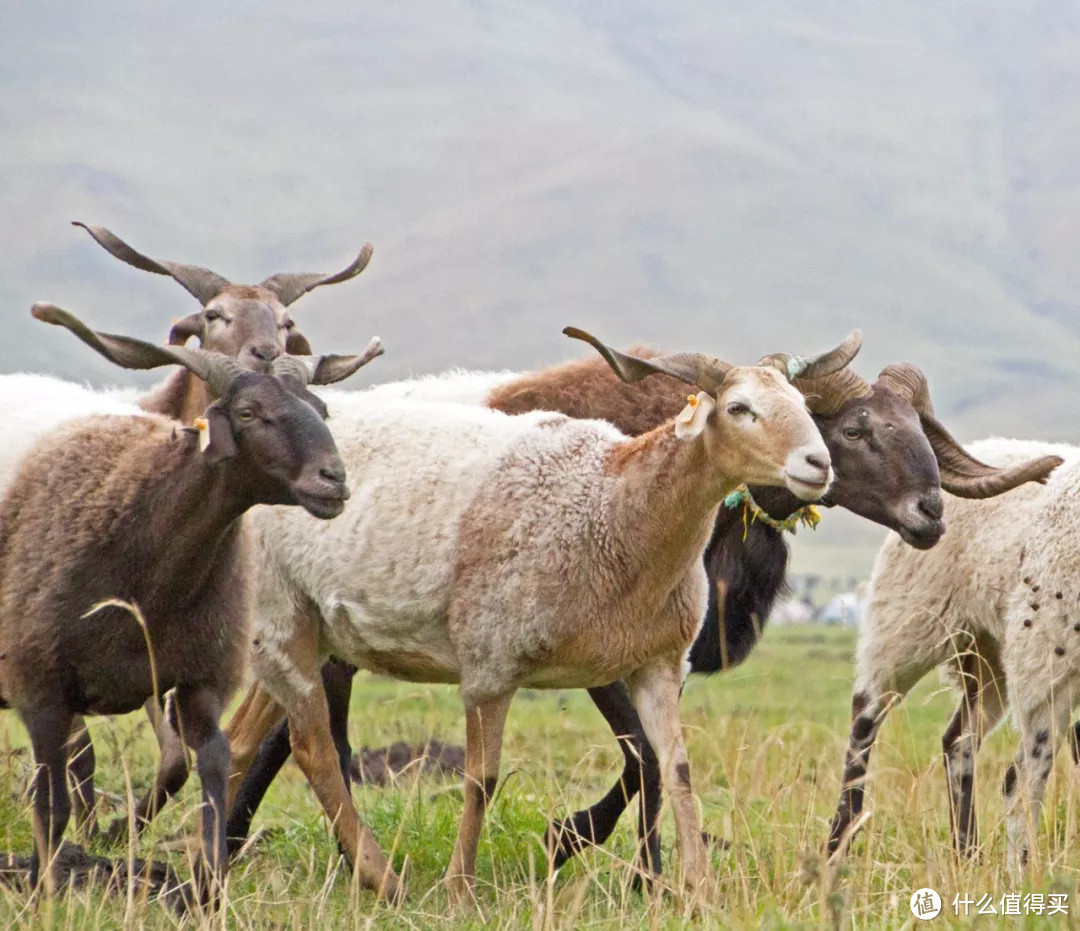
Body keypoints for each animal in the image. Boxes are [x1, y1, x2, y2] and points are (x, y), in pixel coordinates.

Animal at [4, 222, 375, 842]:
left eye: (287, 321)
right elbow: (82, 754)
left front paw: (120, 828)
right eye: (215, 315)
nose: (266, 353)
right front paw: (97, 830)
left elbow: (177, 760)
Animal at [825, 436, 1071, 859]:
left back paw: (967, 856)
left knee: (958, 743)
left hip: (990, 655)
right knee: (865, 716)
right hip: (909, 620)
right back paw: (839, 841)